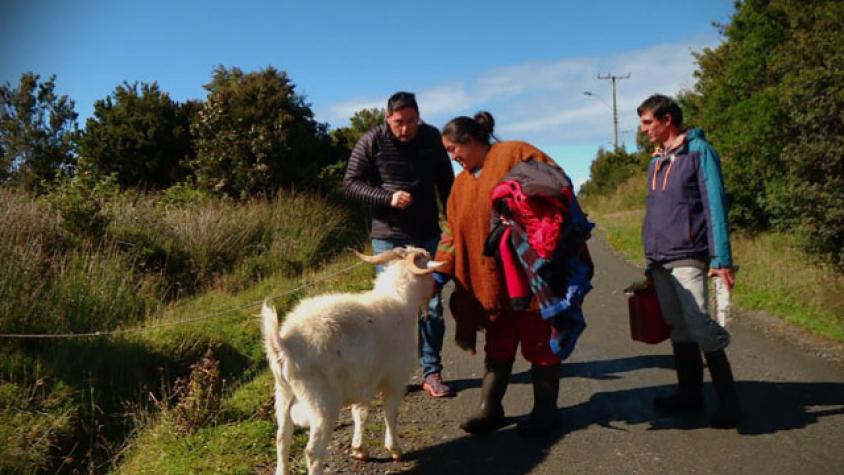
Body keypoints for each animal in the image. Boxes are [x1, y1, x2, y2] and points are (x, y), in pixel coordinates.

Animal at [260, 247, 442, 474]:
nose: (436, 289)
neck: (400, 301)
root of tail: (284, 344)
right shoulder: (394, 379)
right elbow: (391, 413)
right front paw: (395, 450)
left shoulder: (364, 380)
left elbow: (360, 413)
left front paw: (359, 449)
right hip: (322, 402)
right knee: (312, 451)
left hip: (283, 394)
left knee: (282, 439)